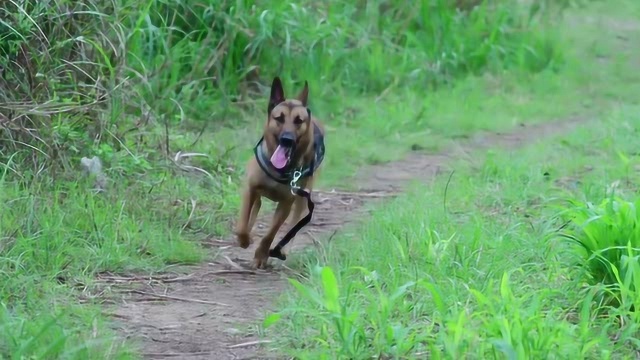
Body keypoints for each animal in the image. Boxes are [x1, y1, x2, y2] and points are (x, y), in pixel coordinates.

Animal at [234, 76, 324, 268]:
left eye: (298, 120)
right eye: (279, 118)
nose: (287, 139)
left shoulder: (286, 204)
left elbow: (270, 234)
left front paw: (261, 255)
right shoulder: (250, 189)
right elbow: (243, 224)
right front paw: (244, 239)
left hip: (303, 197)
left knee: (295, 222)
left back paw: (283, 249)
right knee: (254, 209)